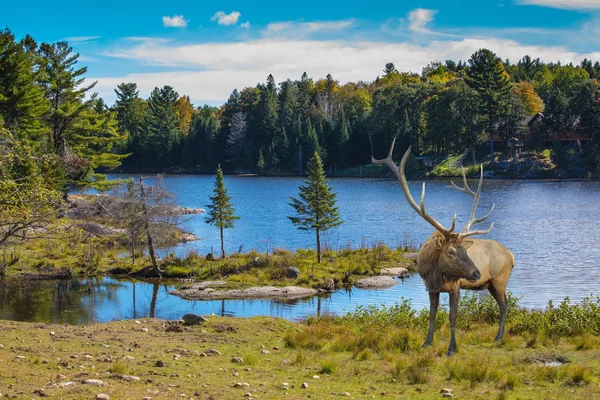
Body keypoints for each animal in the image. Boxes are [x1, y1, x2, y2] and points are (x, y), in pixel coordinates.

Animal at [372, 141, 512, 356]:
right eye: (451, 251)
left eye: (465, 250)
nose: (476, 272)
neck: (436, 272)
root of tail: (512, 256)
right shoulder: (431, 287)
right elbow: (432, 314)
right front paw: (426, 342)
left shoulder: (455, 286)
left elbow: (453, 317)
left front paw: (452, 348)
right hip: (491, 285)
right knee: (504, 304)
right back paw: (500, 336)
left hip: (499, 280)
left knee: (504, 305)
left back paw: (498, 337)